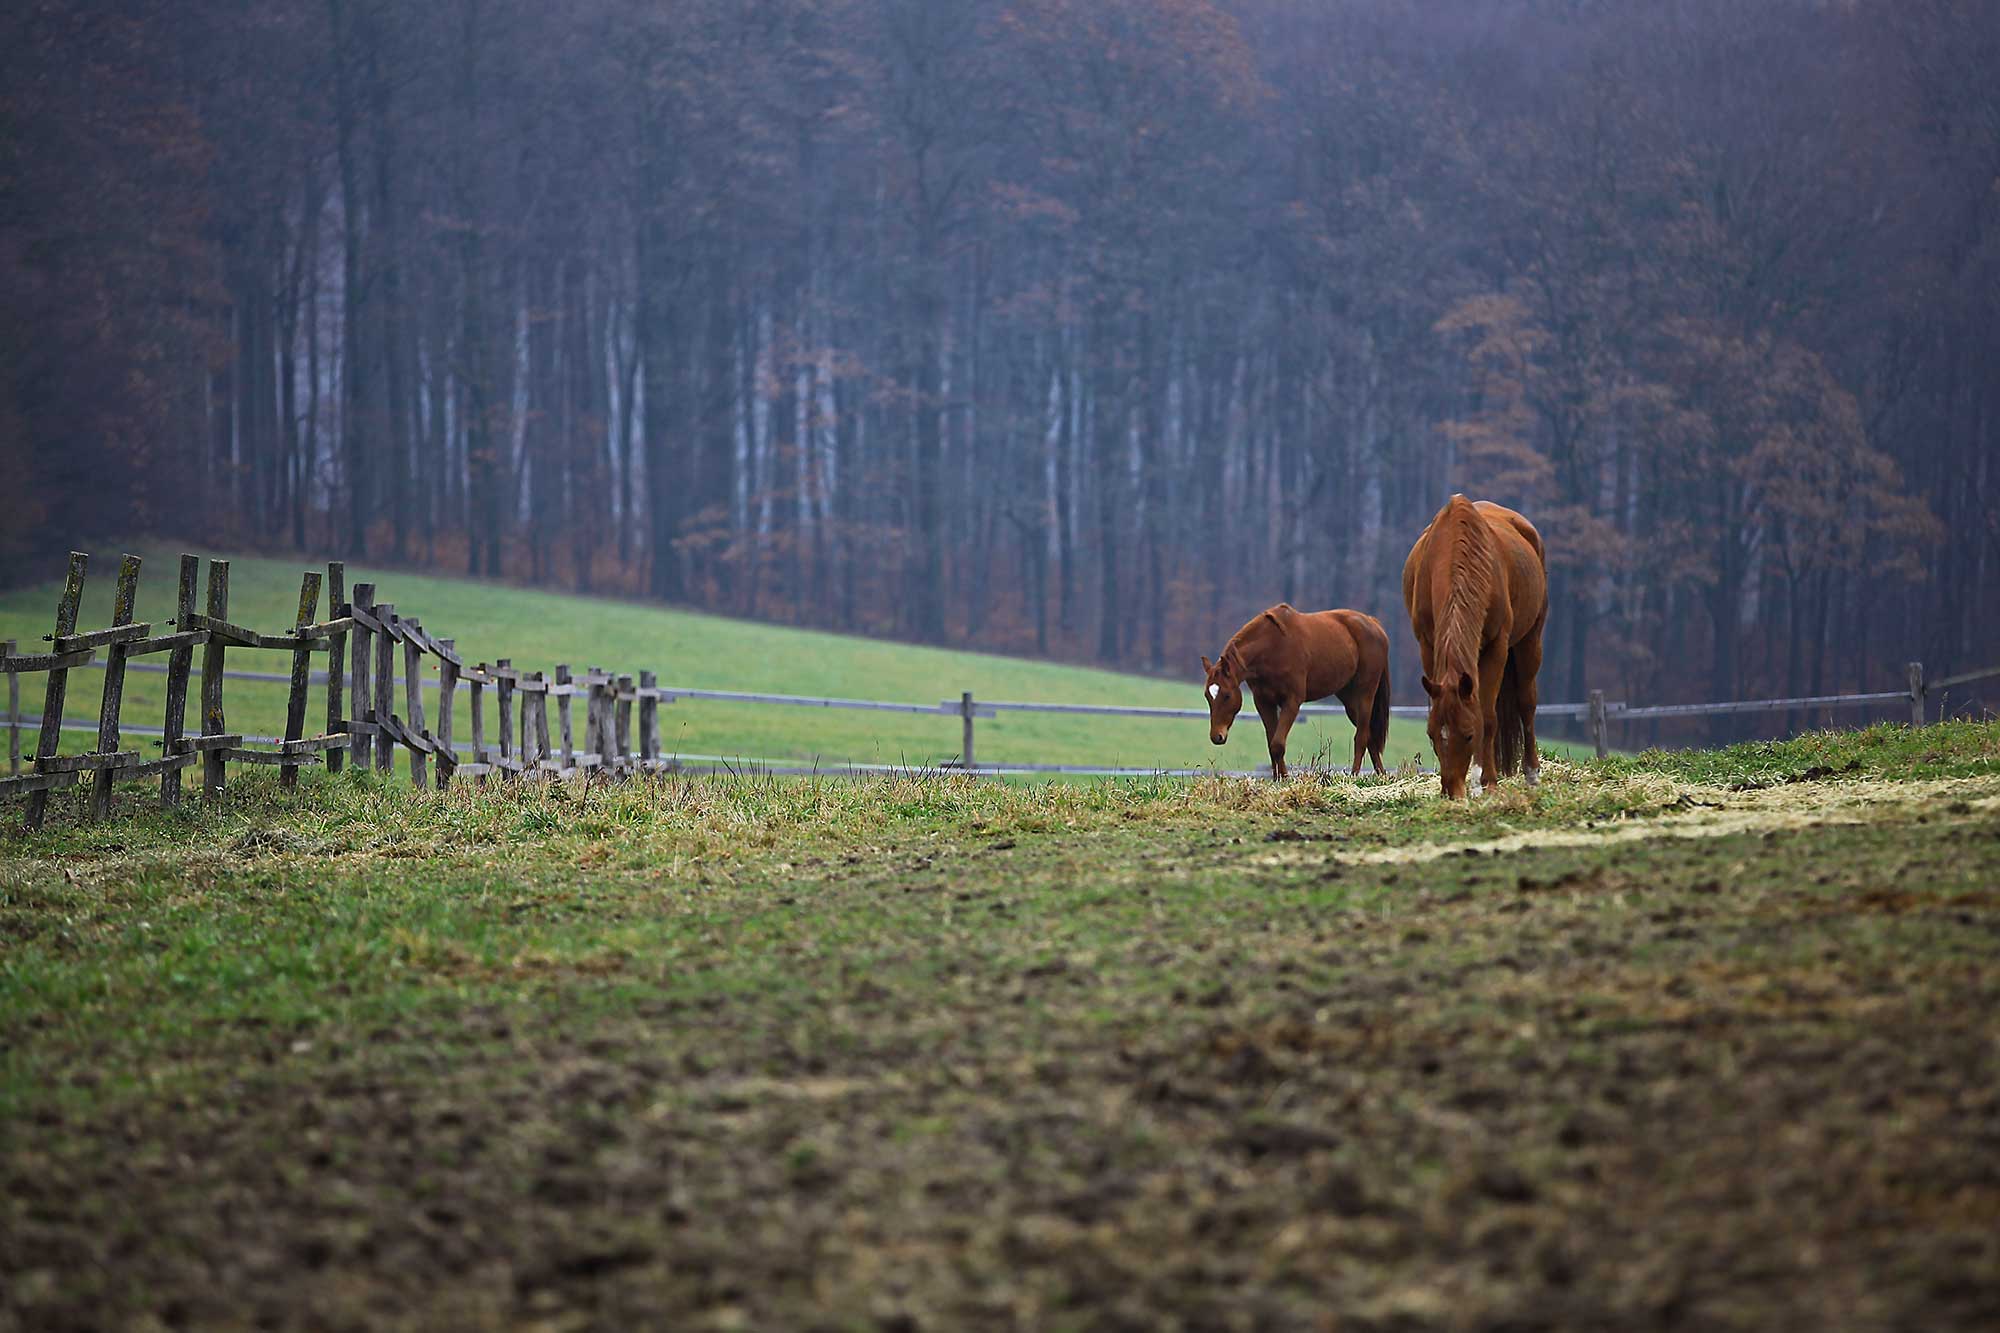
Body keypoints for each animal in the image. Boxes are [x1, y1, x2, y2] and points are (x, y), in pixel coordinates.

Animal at [1200, 604, 1392, 780]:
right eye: (1208, 697)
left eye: (1227, 695)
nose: (1216, 736)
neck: (1272, 647)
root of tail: (1374, 624)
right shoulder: (1263, 702)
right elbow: (1271, 743)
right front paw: (1278, 778)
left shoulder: (1292, 701)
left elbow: (1278, 744)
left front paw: (1284, 779)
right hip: (1350, 701)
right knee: (1369, 737)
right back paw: (1381, 775)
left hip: (1365, 695)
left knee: (1361, 737)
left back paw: (1354, 775)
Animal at [1408, 492, 1544, 792]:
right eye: (1431, 734)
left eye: (1469, 735)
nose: (1451, 790)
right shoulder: (1427, 645)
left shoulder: (1496, 647)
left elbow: (1488, 717)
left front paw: (1488, 781)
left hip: (1530, 640)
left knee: (1527, 702)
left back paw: (1531, 774)